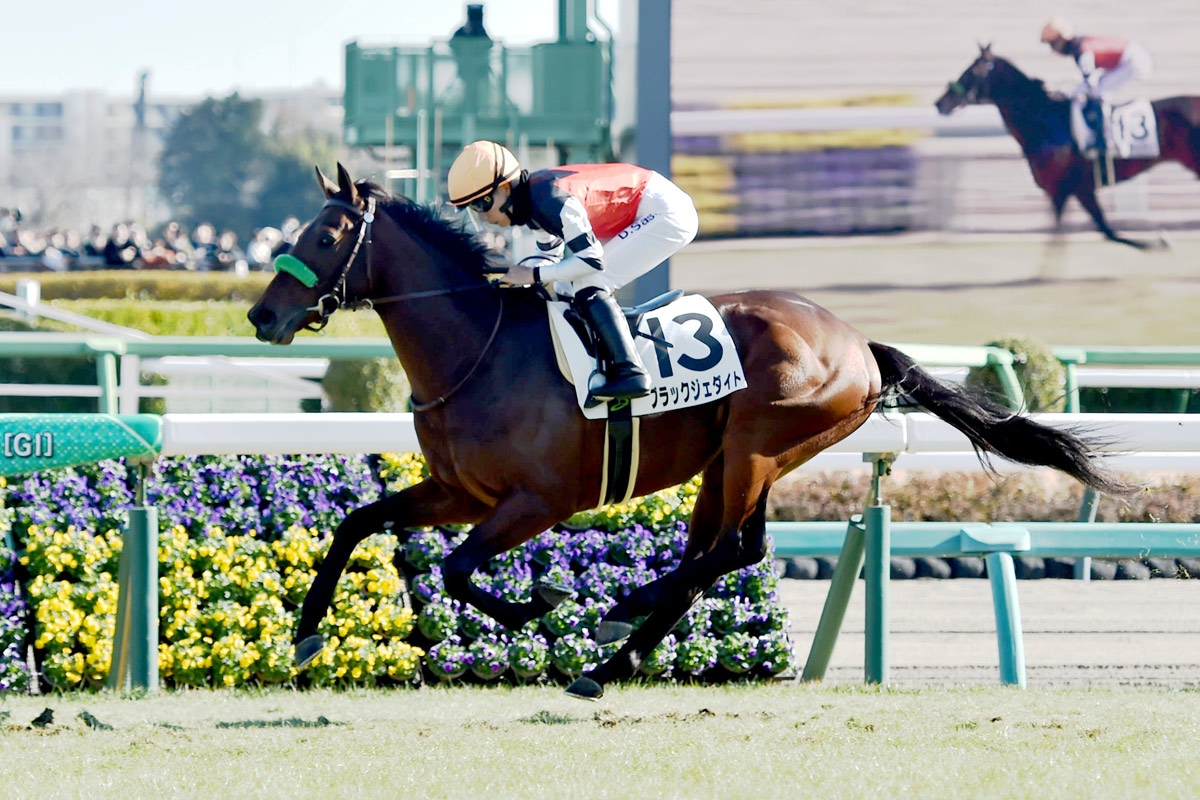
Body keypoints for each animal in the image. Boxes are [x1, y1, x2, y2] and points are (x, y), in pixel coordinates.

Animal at [248, 163, 1133, 700]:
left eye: (325, 235)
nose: (261, 317)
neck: (481, 350)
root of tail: (859, 344)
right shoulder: (460, 491)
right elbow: (359, 524)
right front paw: (305, 637)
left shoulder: (538, 501)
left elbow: (461, 571)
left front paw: (539, 606)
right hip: (744, 458)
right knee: (723, 552)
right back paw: (617, 654)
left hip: (756, 445)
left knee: (726, 552)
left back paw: (616, 621)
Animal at [935, 45, 1200, 249]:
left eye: (971, 72)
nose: (940, 103)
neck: (1045, 121)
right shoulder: (1066, 192)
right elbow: (1078, 233)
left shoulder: (1075, 188)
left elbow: (1100, 232)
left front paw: (1160, 241)